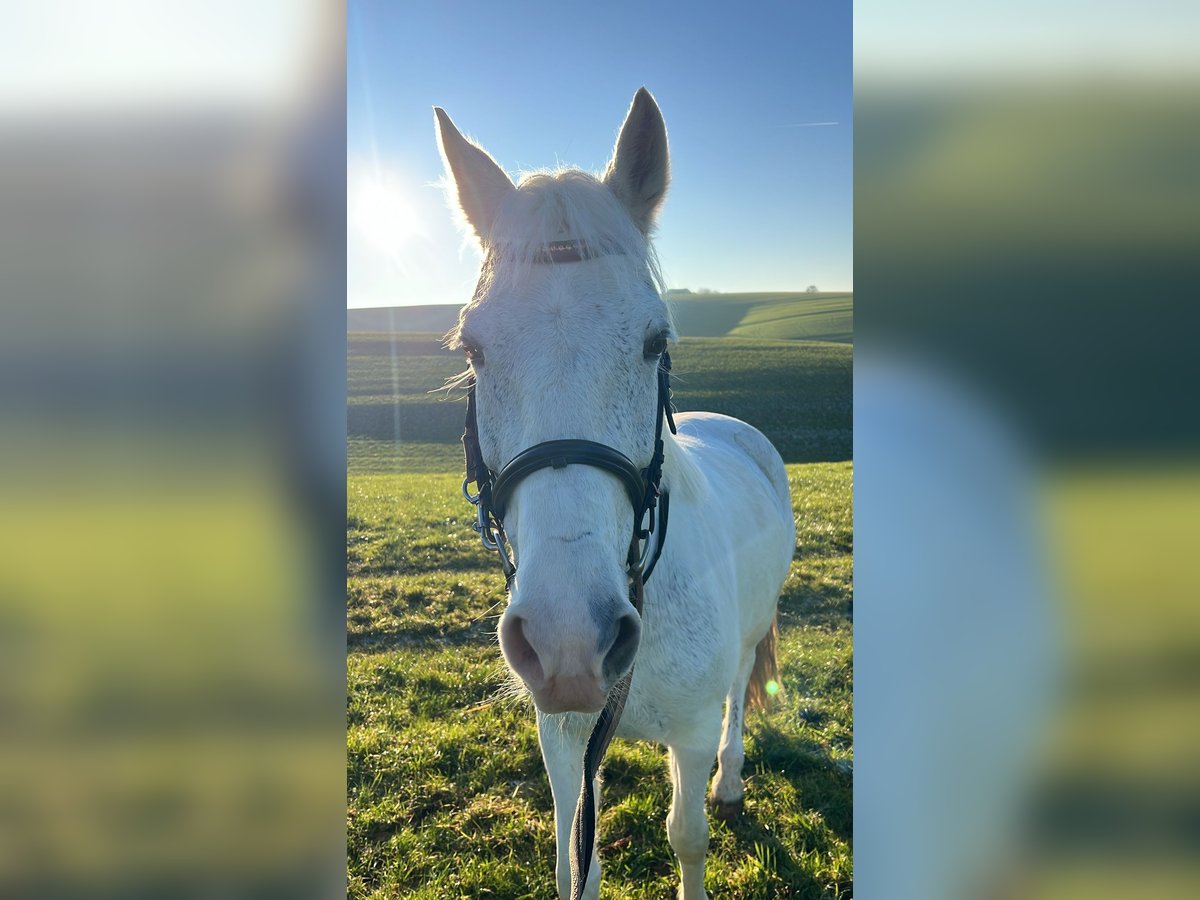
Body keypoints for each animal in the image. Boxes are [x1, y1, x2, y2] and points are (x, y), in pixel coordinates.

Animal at [434, 86, 796, 900]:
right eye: (473, 348)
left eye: (657, 341)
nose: (569, 642)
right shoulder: (564, 737)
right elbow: (576, 861)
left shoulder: (687, 735)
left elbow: (686, 837)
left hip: (750, 633)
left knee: (738, 692)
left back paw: (732, 780)